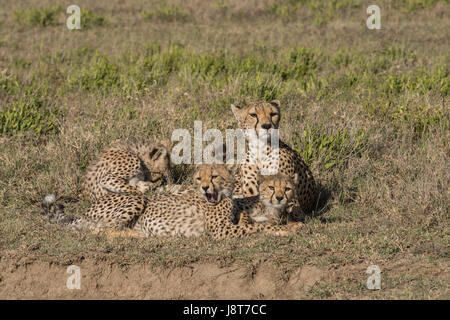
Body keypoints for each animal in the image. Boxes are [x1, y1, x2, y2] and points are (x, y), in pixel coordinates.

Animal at [43, 164, 302, 239]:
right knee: (103, 230)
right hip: (136, 198)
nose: (204, 187)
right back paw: (137, 234)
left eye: (214, 176)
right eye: (199, 178)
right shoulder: (220, 231)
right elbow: (257, 227)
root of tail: (84, 212)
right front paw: (286, 229)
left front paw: (291, 224)